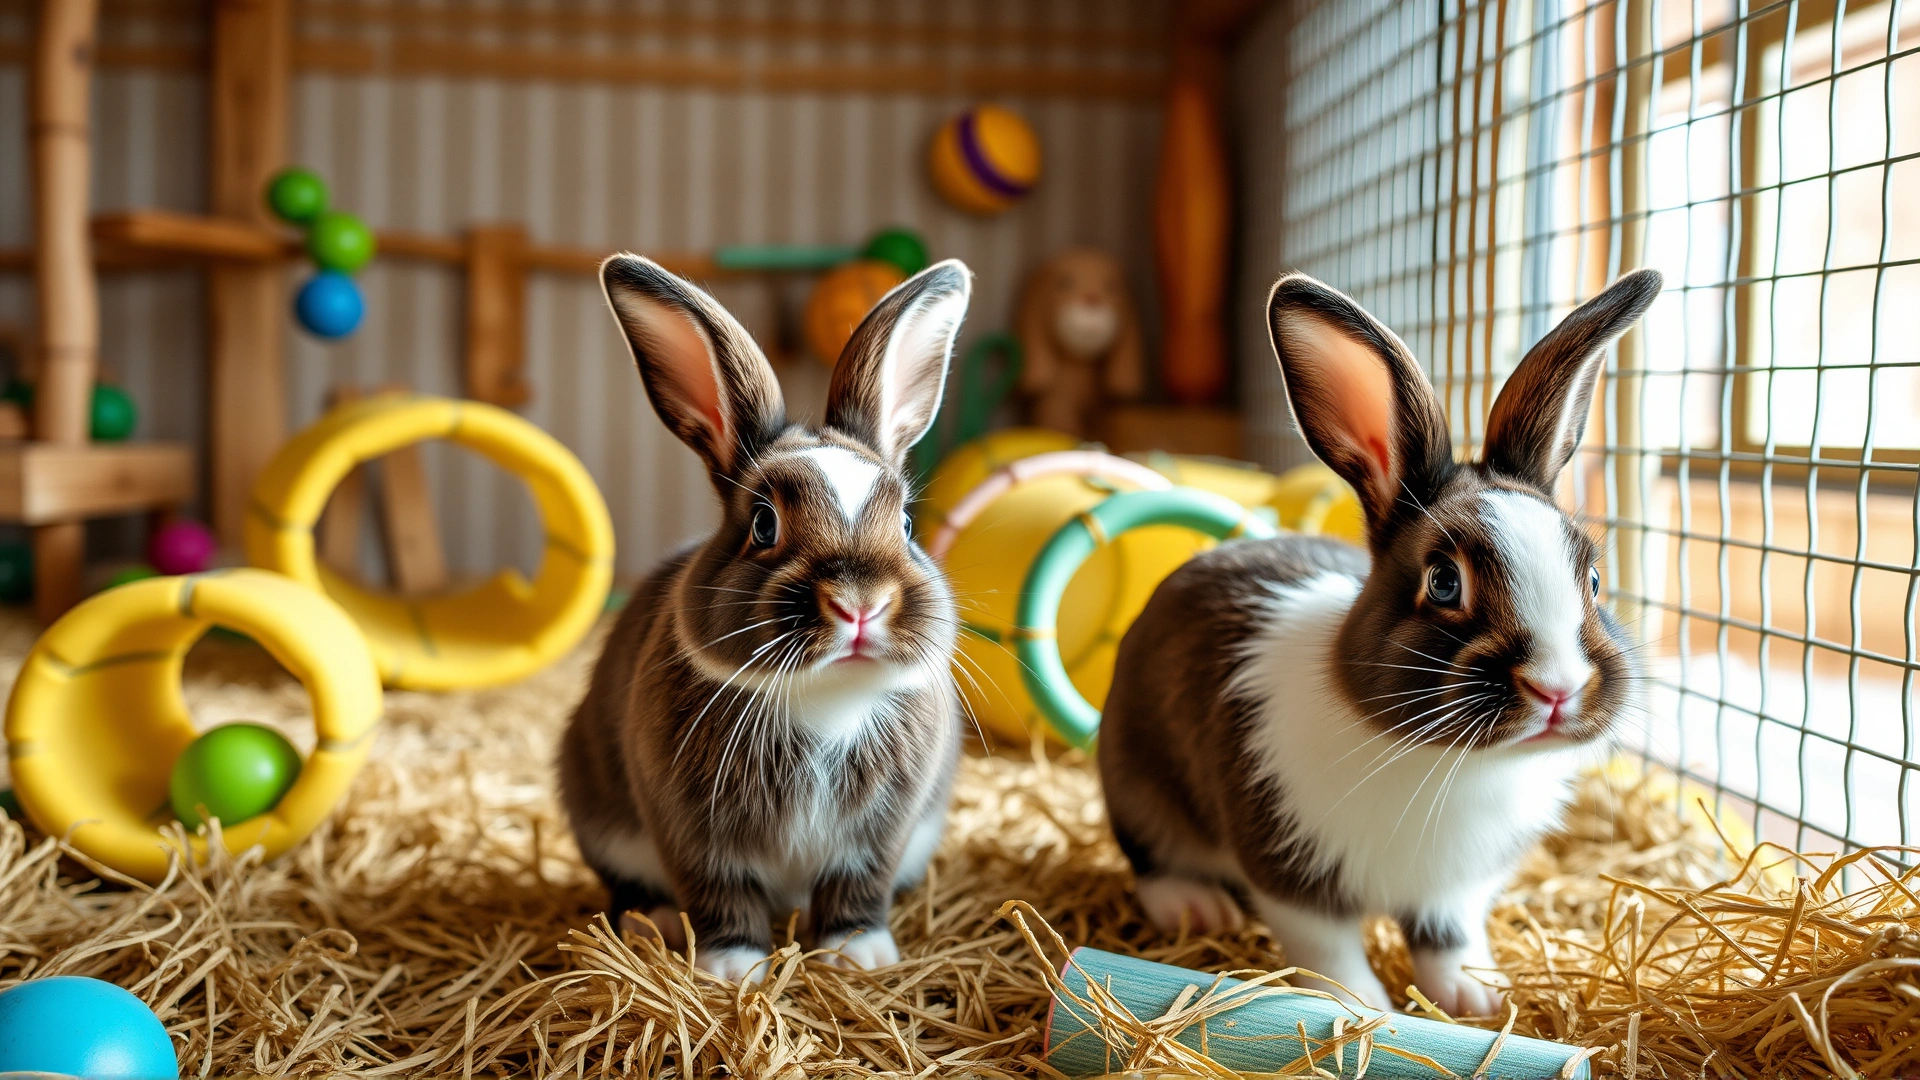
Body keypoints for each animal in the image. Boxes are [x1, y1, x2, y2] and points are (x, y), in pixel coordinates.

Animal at [558, 254, 972, 983]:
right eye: (763, 524)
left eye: (905, 522)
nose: (859, 604)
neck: (825, 697)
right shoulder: (694, 833)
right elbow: (721, 893)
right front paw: (733, 967)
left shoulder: (880, 835)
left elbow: (856, 888)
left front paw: (856, 955)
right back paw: (652, 922)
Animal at [1099, 268, 1661, 1017]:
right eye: (1444, 582)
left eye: (1594, 578)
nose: (1557, 689)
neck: (1452, 762)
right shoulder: (1290, 874)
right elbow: (1329, 952)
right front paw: (1364, 1010)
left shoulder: (1455, 892)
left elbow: (1447, 941)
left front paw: (1478, 999)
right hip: (1136, 785)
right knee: (1151, 857)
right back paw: (1194, 907)